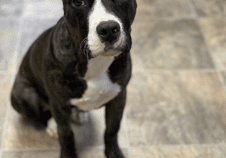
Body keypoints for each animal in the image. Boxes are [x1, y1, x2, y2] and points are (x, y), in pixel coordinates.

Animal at [10, 0, 137, 157]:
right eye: (78, 3)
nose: (108, 29)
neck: (95, 61)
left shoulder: (118, 98)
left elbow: (112, 129)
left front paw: (113, 153)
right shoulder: (58, 102)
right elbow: (65, 133)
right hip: (24, 94)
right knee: (41, 115)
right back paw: (52, 124)